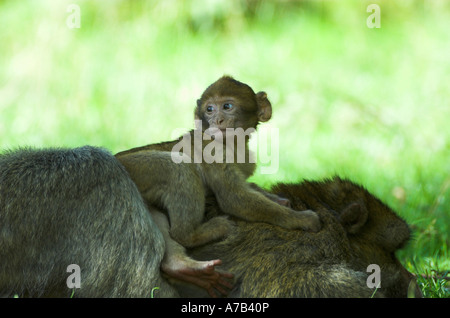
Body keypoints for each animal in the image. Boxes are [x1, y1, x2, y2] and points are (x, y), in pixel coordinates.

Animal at [116, 76, 320, 296]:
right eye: (210, 109)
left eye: (227, 106)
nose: (217, 120)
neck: (233, 145)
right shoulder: (212, 150)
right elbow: (233, 197)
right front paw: (300, 219)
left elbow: (246, 186)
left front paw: (276, 198)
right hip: (134, 168)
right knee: (177, 168)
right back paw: (191, 235)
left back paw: (180, 266)